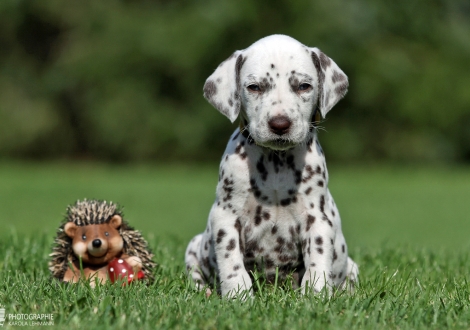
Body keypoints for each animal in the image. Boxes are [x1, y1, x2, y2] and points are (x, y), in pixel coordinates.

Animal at [185, 34, 358, 298]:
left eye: (304, 86)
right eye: (254, 87)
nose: (279, 124)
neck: (276, 162)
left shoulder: (317, 218)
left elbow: (317, 259)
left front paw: (316, 294)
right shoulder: (225, 215)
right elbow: (230, 257)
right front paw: (238, 294)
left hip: (352, 268)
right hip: (193, 248)